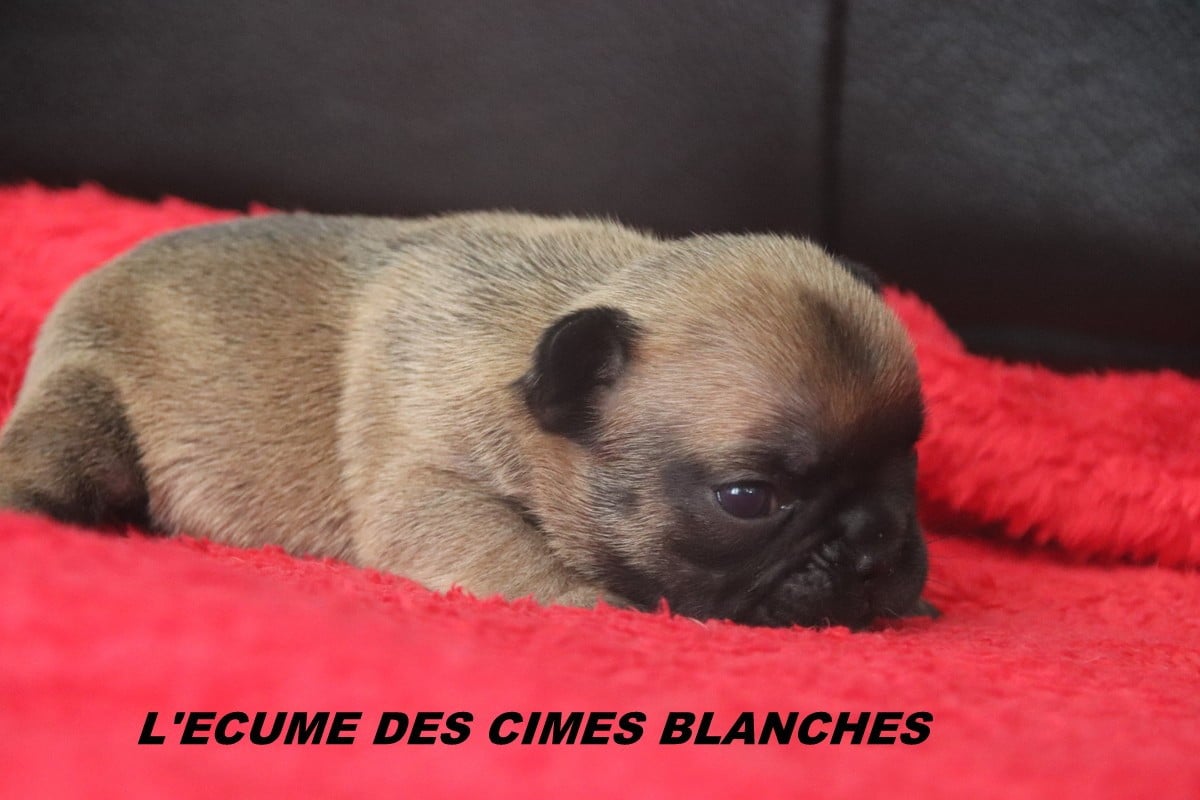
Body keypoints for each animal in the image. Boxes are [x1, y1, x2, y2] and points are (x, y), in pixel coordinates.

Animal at [0, 212, 932, 628]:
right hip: (85, 407)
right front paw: (596, 604)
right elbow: (516, 554)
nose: (876, 538)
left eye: (909, 462)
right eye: (747, 498)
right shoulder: (430, 491)